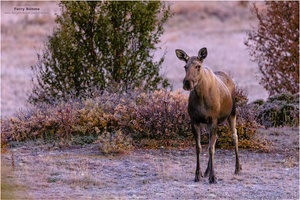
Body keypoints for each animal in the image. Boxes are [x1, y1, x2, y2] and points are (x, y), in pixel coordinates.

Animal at [175, 47, 243, 184]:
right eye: (185, 66)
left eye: (198, 66)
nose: (187, 83)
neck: (201, 97)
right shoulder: (195, 120)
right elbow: (200, 147)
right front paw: (198, 174)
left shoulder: (213, 120)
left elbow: (210, 148)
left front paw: (213, 177)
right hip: (210, 122)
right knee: (215, 140)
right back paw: (206, 171)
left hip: (232, 113)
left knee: (235, 136)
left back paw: (238, 168)